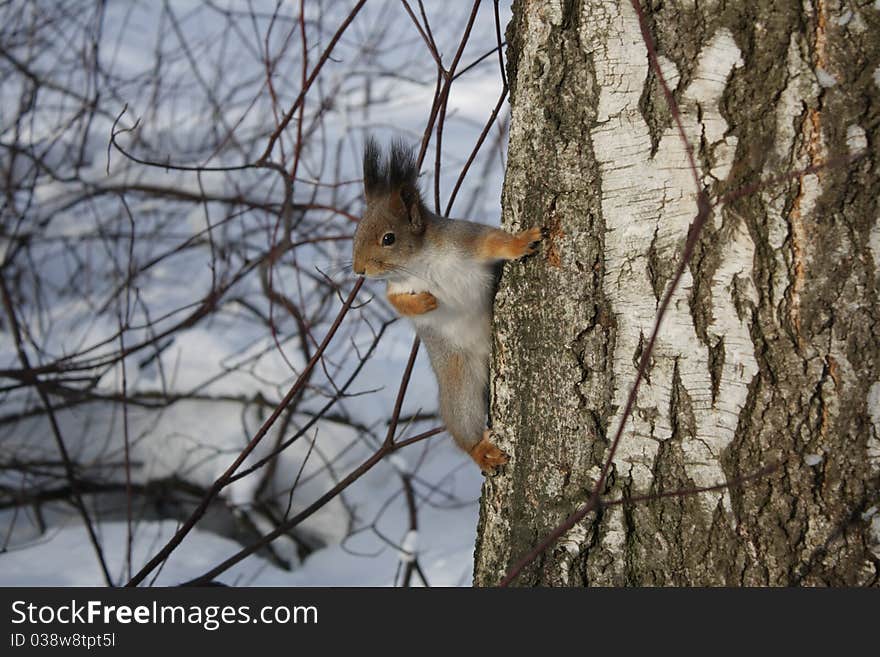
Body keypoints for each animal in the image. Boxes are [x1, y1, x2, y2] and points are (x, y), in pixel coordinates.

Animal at [350, 137, 544, 472]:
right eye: (358, 231)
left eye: (389, 238)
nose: (358, 270)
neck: (419, 263)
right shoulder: (397, 286)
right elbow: (396, 303)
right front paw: (425, 302)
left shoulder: (466, 241)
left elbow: (493, 242)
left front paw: (520, 242)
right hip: (458, 381)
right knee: (463, 425)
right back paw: (481, 450)